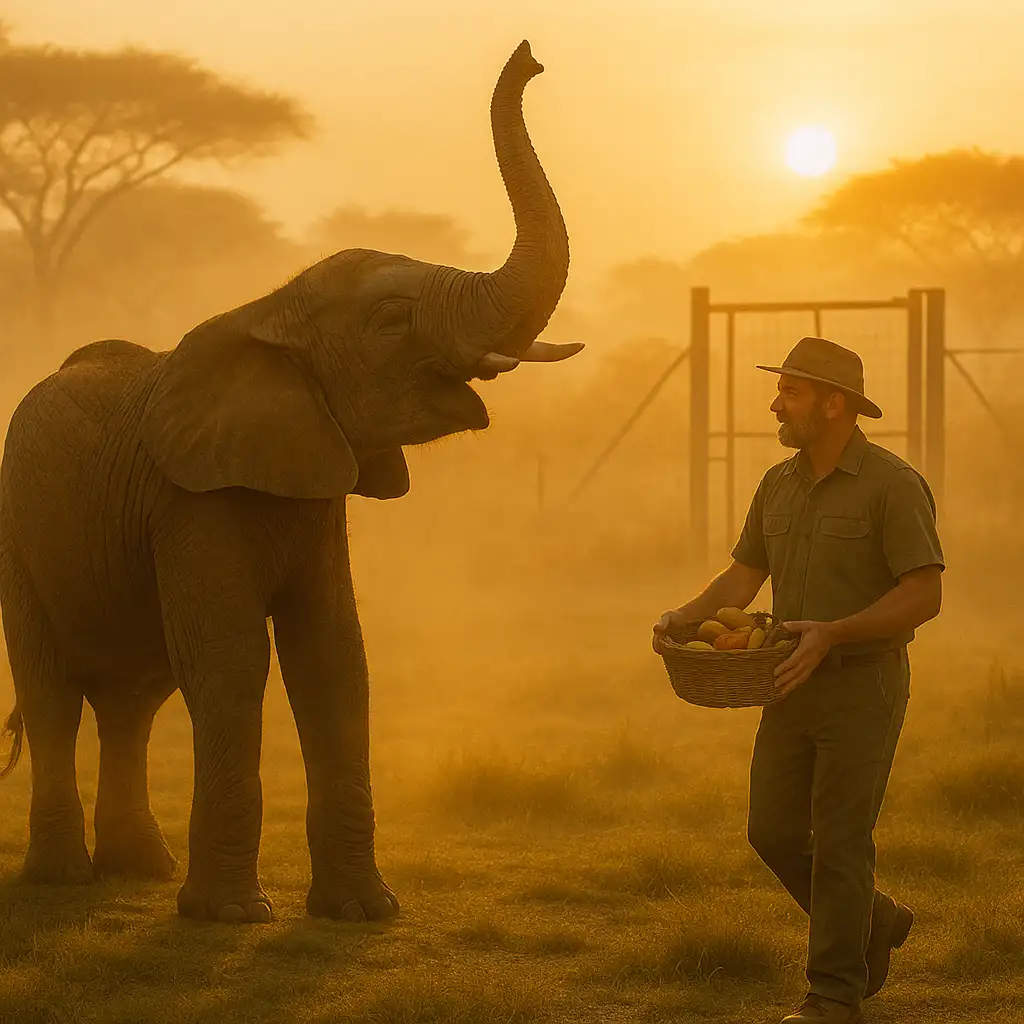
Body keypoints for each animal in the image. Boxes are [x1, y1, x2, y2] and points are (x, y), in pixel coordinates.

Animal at [0, 40, 581, 924]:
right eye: (389, 322)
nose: (531, 57)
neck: (269, 311)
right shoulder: (191, 499)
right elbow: (233, 659)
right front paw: (232, 918)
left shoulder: (314, 486)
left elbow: (335, 655)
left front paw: (364, 913)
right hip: (17, 536)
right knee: (53, 694)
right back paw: (63, 880)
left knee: (134, 698)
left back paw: (140, 871)